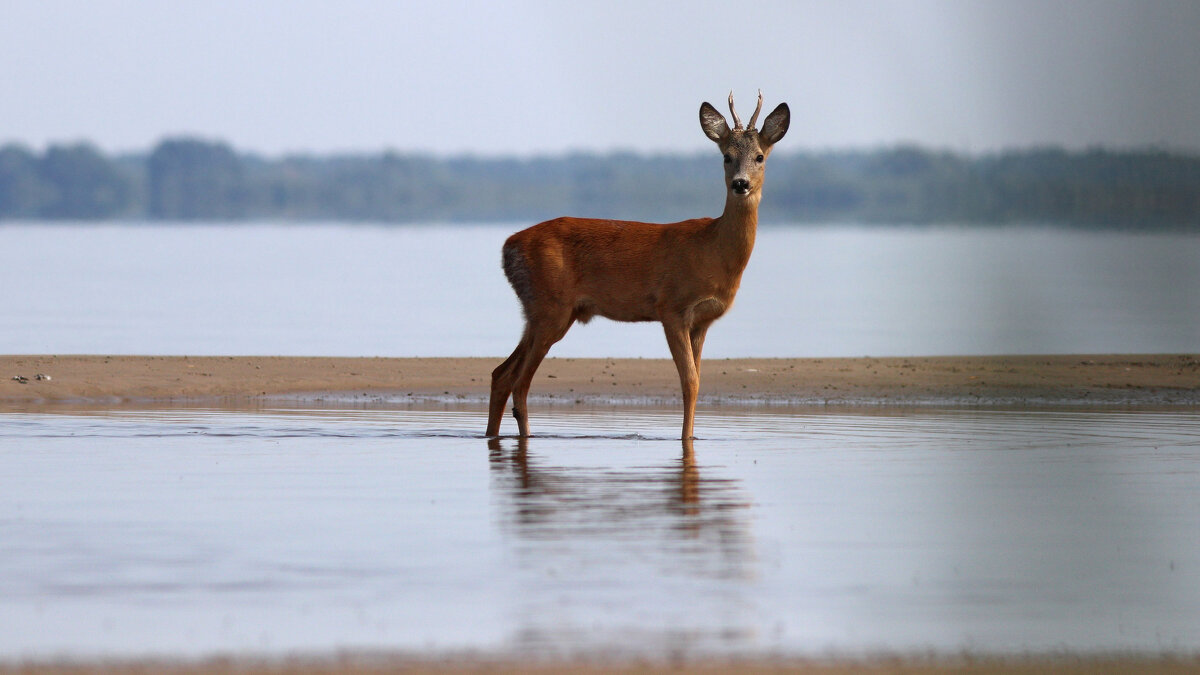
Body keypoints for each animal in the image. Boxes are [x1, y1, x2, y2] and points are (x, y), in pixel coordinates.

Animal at [487, 90, 787, 437]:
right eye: (726, 156)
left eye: (760, 157)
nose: (741, 183)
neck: (713, 251)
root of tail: (508, 247)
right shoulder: (672, 307)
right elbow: (690, 382)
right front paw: (686, 440)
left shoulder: (702, 321)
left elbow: (698, 379)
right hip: (551, 307)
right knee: (519, 382)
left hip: (542, 312)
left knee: (501, 373)